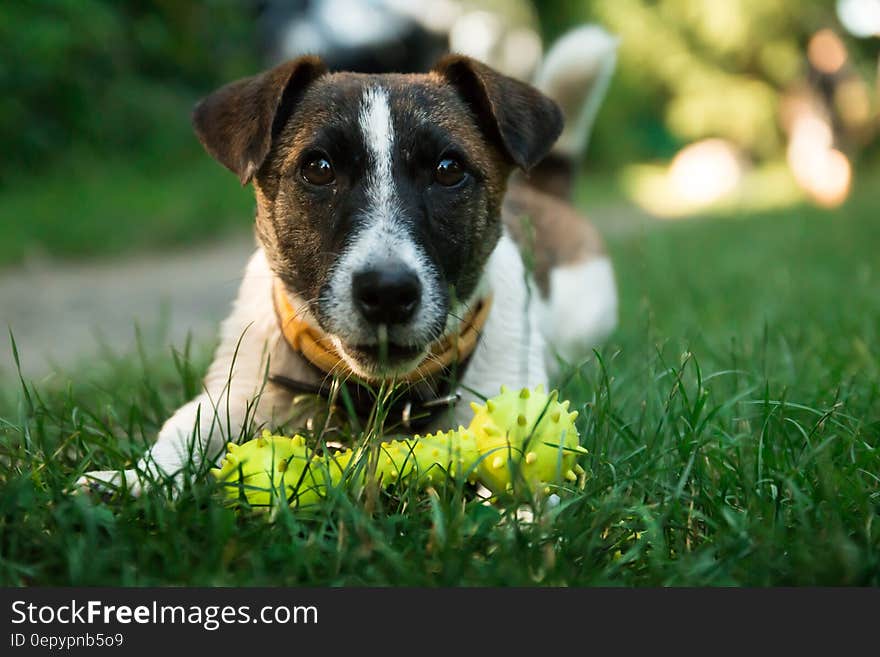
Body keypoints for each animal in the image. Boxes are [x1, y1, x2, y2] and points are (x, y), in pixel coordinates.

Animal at [81, 28, 620, 494]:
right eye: (318, 168)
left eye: (449, 170)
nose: (387, 292)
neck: (373, 393)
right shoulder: (231, 397)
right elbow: (180, 430)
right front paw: (134, 480)